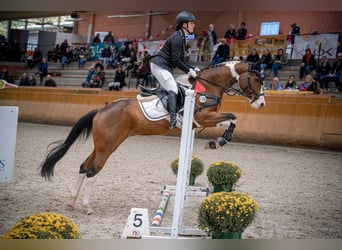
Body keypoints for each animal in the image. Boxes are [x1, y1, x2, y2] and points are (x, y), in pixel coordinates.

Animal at [39, 60, 264, 215]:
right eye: (256, 79)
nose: (261, 104)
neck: (207, 87)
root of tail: (100, 110)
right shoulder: (203, 118)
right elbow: (233, 117)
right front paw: (219, 141)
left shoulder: (203, 121)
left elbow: (230, 120)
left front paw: (216, 141)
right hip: (109, 146)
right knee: (92, 171)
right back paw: (87, 207)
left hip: (101, 144)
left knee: (84, 167)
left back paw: (71, 202)